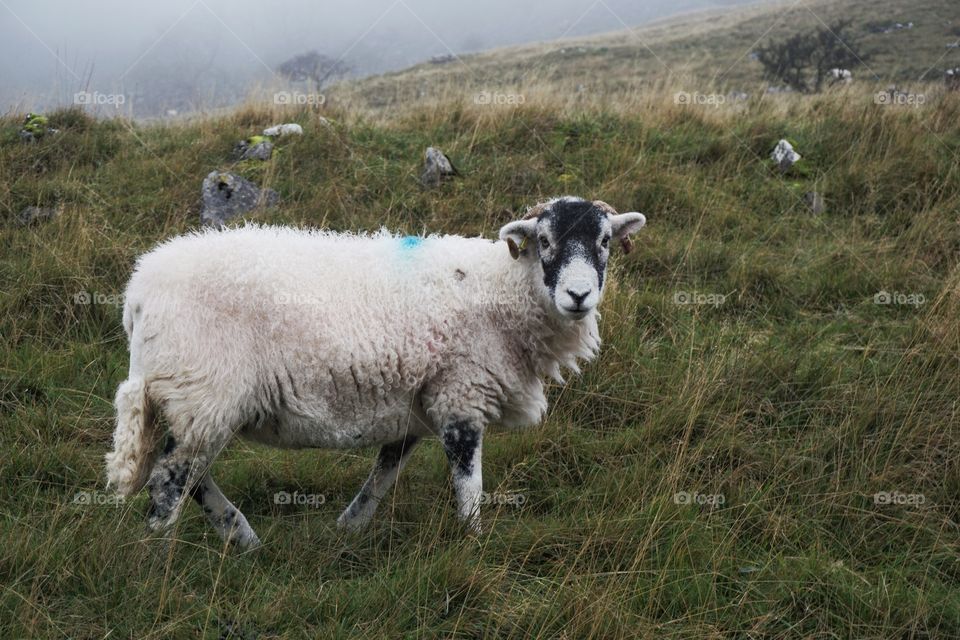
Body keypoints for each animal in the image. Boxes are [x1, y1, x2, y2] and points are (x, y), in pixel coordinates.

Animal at [105, 195, 644, 544]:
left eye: (604, 241)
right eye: (545, 240)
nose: (578, 295)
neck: (502, 290)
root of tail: (138, 291)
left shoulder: (416, 403)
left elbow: (386, 471)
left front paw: (350, 526)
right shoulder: (461, 395)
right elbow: (469, 485)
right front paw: (475, 544)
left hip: (195, 398)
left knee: (188, 474)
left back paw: (242, 537)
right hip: (203, 389)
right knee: (170, 477)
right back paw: (161, 552)